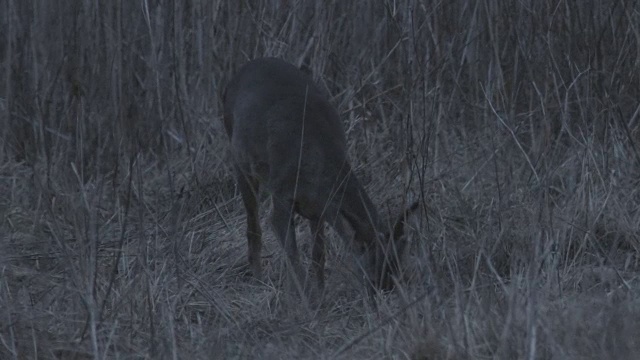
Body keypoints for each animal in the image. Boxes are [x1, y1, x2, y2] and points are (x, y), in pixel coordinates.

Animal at [222, 57, 418, 296]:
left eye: (398, 262)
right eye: (372, 263)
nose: (385, 288)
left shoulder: (320, 208)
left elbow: (318, 255)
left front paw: (321, 291)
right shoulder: (282, 194)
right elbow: (292, 254)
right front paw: (305, 296)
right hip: (240, 160)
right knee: (253, 225)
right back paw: (258, 279)